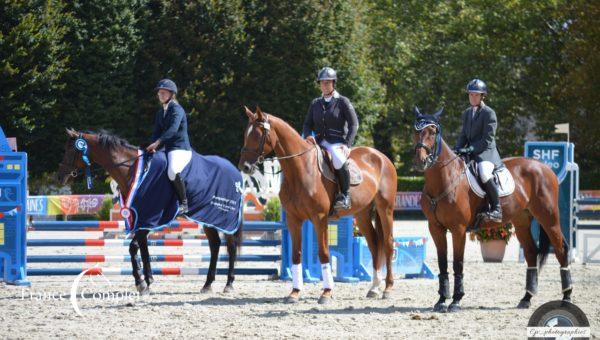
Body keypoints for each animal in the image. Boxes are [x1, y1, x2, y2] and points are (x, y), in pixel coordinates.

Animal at [56, 129, 241, 294]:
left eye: (71, 149)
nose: (60, 177)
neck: (133, 170)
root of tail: (235, 171)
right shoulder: (140, 218)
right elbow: (138, 248)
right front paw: (144, 281)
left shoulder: (149, 217)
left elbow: (138, 247)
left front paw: (144, 282)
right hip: (207, 217)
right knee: (215, 245)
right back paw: (207, 284)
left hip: (224, 218)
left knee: (231, 247)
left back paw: (229, 284)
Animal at [239, 107, 398, 304]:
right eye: (246, 134)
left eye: (258, 134)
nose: (244, 167)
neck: (300, 169)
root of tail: (381, 157)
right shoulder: (293, 219)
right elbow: (296, 254)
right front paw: (295, 292)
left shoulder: (319, 218)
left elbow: (324, 253)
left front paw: (327, 292)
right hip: (361, 214)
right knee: (374, 244)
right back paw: (374, 288)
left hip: (385, 209)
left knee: (388, 243)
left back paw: (388, 288)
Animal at [412, 107, 572, 312]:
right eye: (415, 131)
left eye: (433, 132)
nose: (421, 161)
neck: (444, 179)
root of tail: (545, 167)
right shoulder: (436, 228)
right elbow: (442, 264)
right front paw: (441, 301)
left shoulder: (458, 230)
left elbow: (457, 264)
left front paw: (456, 301)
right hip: (521, 221)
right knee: (530, 252)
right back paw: (526, 298)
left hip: (548, 217)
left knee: (561, 249)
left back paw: (567, 297)